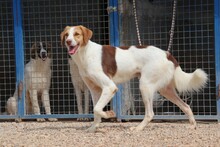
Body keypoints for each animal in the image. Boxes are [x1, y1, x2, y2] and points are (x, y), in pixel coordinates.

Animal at [60, 25, 208, 132]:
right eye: (67, 35)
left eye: (77, 34)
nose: (68, 41)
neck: (85, 53)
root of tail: (166, 53)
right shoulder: (95, 90)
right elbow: (96, 111)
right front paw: (93, 128)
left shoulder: (109, 87)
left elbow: (97, 109)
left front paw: (109, 114)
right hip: (166, 90)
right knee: (186, 106)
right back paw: (192, 125)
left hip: (145, 85)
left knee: (150, 113)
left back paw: (138, 128)